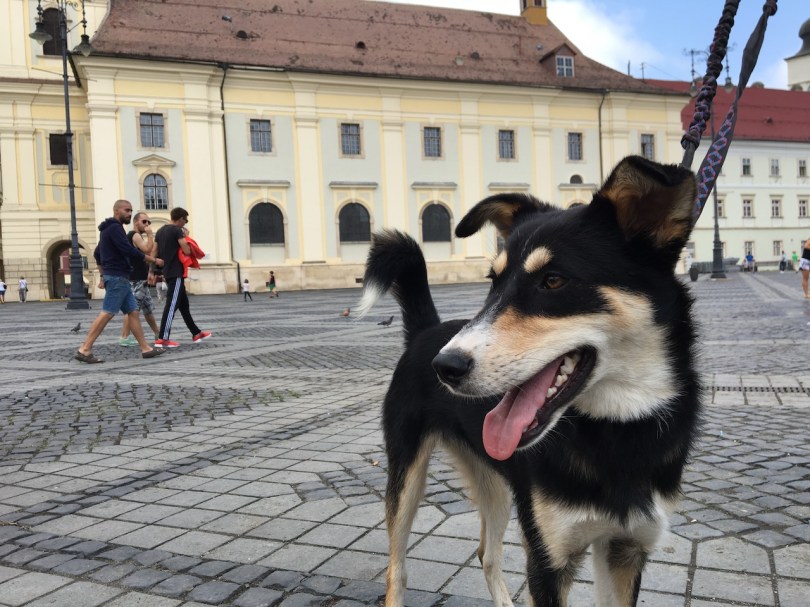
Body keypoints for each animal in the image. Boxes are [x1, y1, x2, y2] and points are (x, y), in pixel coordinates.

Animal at [357, 155, 702, 607]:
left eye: (553, 280)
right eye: (493, 281)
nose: (445, 367)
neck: (619, 429)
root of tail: (425, 332)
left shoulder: (626, 549)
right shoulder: (548, 558)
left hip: (498, 486)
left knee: (486, 552)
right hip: (407, 476)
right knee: (396, 567)